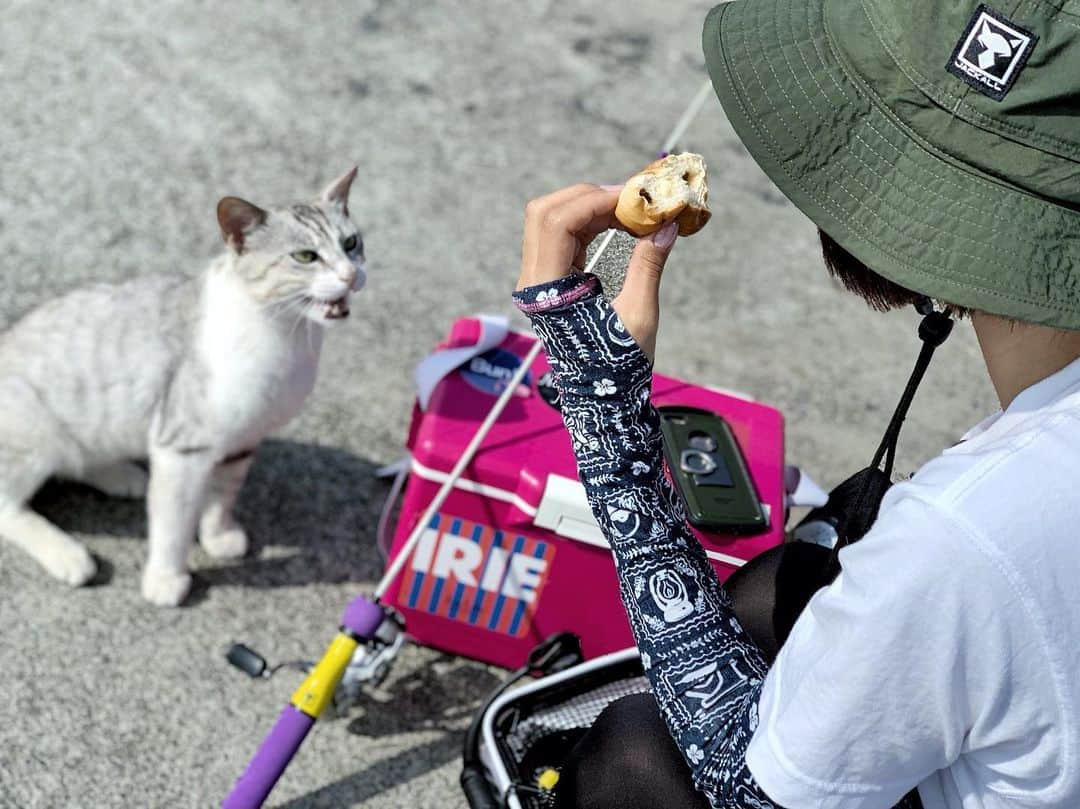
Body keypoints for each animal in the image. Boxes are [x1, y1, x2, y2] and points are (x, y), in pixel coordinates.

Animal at [0, 167, 367, 604]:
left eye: (351, 243)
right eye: (306, 256)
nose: (350, 274)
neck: (287, 339)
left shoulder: (241, 442)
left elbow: (222, 497)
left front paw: (218, 536)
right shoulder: (182, 449)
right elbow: (173, 524)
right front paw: (166, 579)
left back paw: (124, 477)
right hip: (35, 438)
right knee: (7, 506)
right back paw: (68, 554)